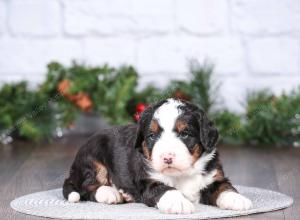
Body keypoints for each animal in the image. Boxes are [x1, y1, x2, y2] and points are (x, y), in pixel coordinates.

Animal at [62, 99, 252, 214]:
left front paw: (237, 199)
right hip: (92, 158)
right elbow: (164, 188)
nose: (167, 158)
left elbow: (223, 187)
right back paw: (110, 193)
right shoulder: (147, 180)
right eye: (152, 136)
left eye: (185, 134)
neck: (182, 174)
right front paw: (178, 202)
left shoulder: (213, 175)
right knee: (86, 186)